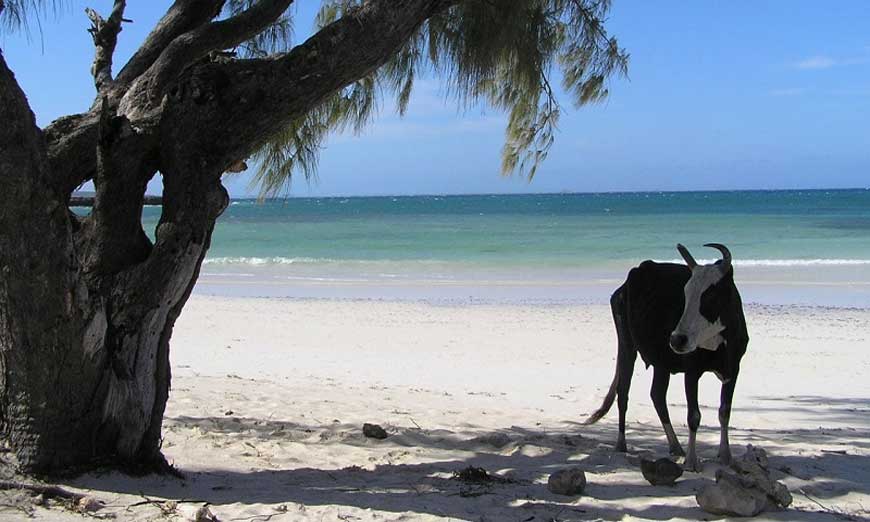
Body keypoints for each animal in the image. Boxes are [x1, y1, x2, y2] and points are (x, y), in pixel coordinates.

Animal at [584, 242, 748, 470]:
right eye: (686, 293)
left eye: (711, 295)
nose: (677, 339)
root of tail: (628, 281)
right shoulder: (692, 371)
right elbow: (694, 415)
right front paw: (691, 461)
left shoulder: (733, 368)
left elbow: (725, 411)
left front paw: (725, 456)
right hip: (627, 346)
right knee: (623, 393)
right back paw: (621, 444)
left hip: (661, 362)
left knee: (657, 396)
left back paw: (675, 446)